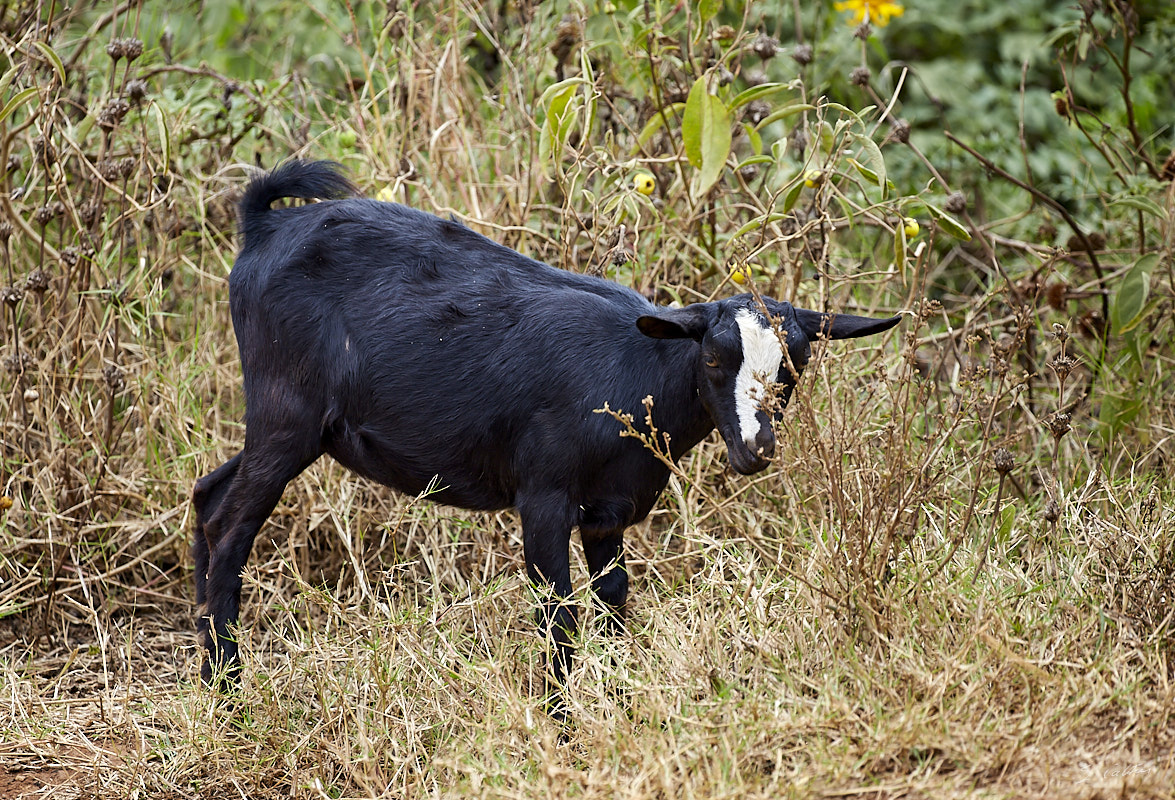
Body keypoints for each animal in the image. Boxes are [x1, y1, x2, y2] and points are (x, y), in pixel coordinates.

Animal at [192, 160, 897, 690]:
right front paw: (563, 721)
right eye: (715, 358)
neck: (634, 369)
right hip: (287, 411)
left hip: (293, 426)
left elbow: (613, 600)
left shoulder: (609, 511)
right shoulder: (545, 498)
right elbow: (560, 613)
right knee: (232, 523)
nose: (755, 448)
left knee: (207, 492)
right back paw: (229, 686)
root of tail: (262, 227)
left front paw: (615, 705)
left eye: (794, 368)